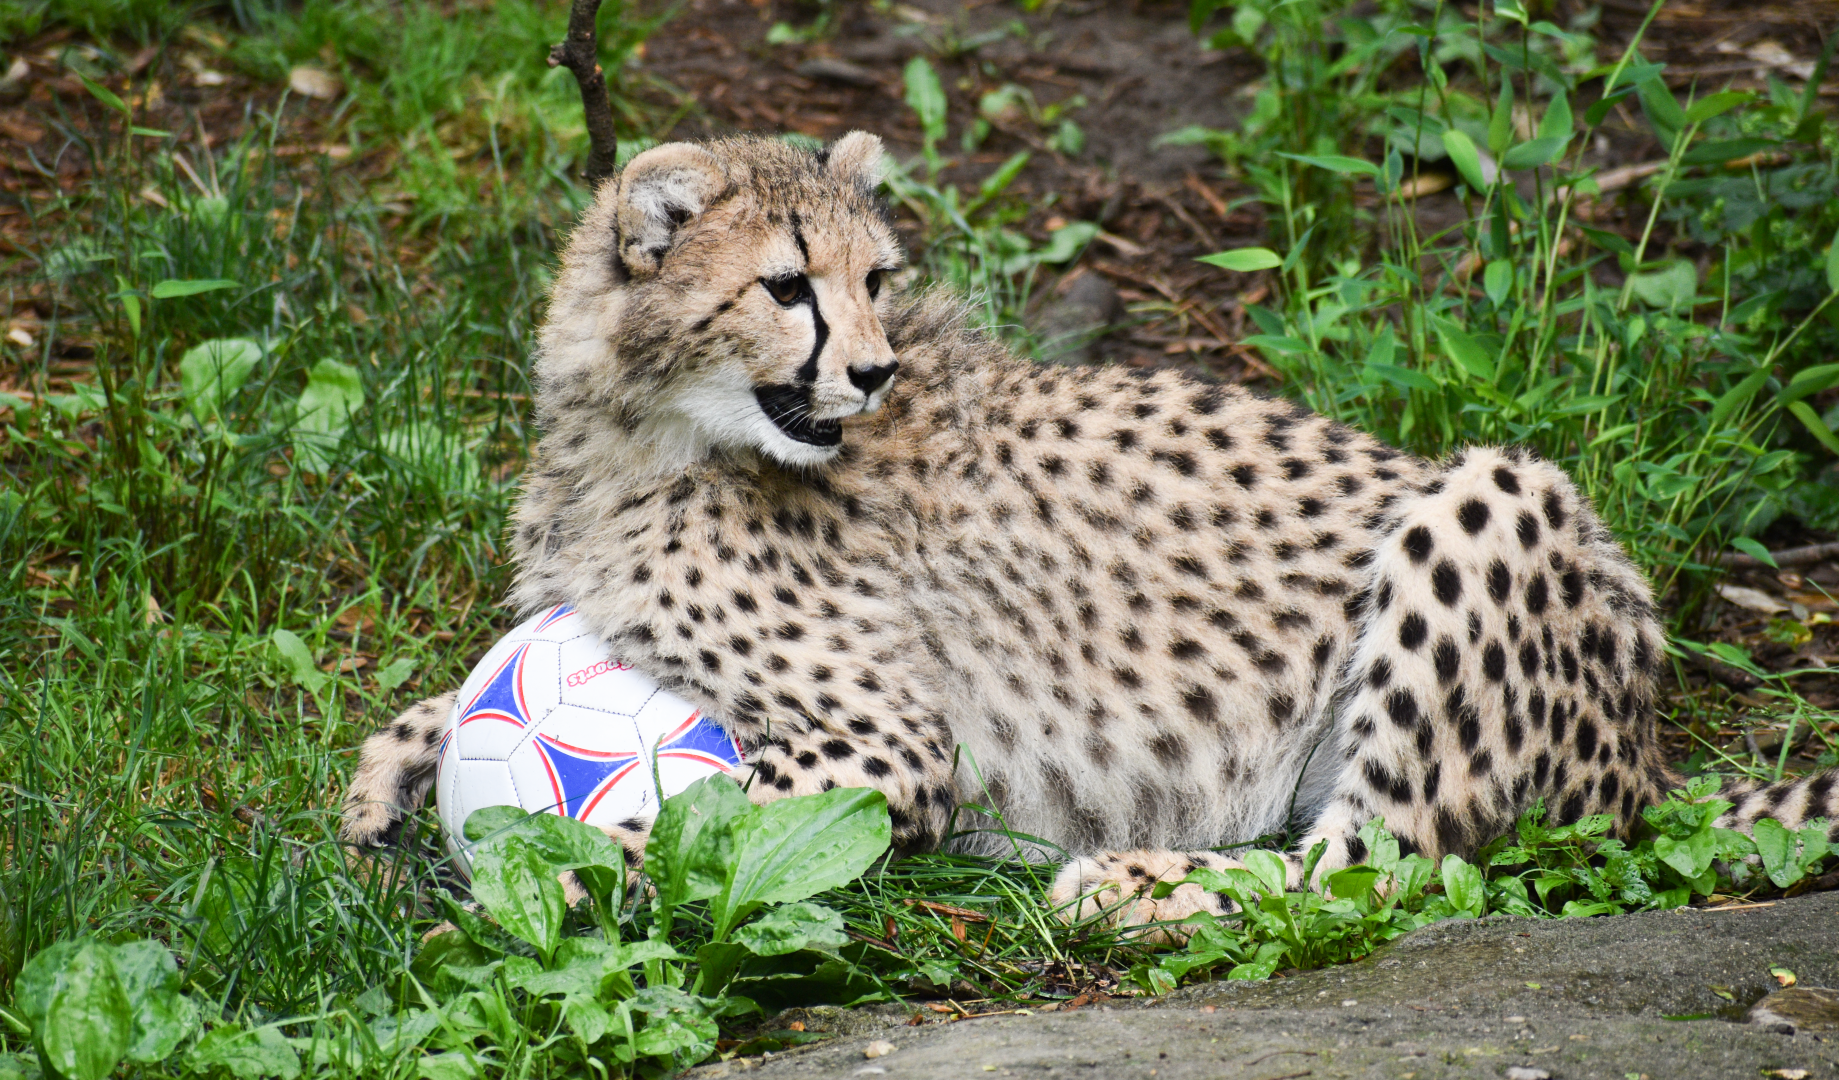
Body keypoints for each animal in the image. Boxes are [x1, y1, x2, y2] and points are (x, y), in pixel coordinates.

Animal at [341, 131, 1839, 928]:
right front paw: (376, 790)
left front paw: (499, 894)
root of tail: (1647, 753)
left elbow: (674, 832)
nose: (871, 370)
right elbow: (455, 700)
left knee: (1380, 870)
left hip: (1495, 495)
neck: (639, 430)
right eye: (784, 286)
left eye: (876, 277)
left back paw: (1127, 883)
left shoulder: (883, 740)